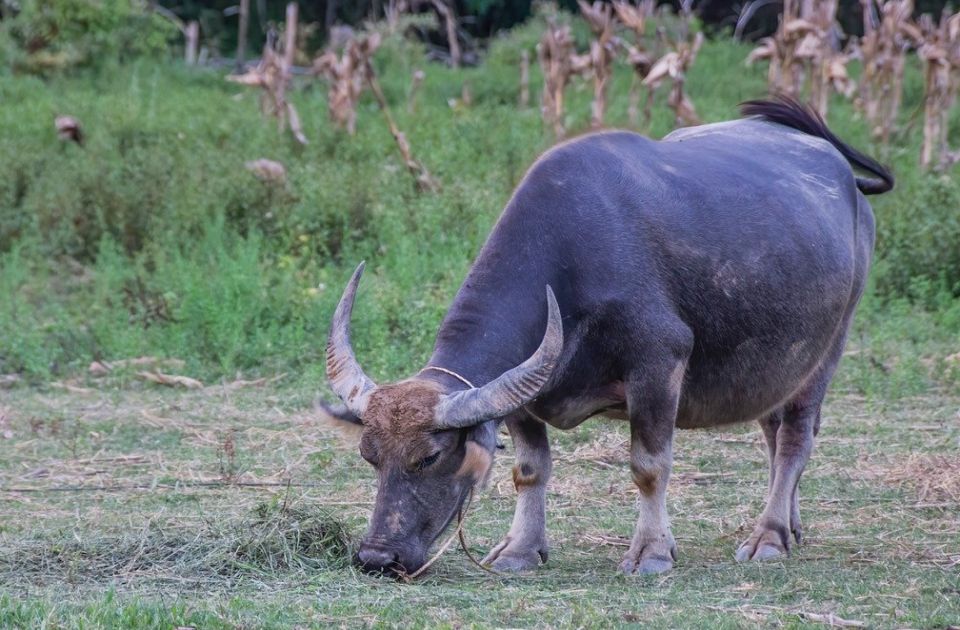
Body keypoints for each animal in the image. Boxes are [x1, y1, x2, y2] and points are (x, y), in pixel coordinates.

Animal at [322, 97, 892, 576]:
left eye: (430, 457)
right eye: (369, 456)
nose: (377, 557)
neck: (572, 259)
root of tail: (845, 179)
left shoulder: (658, 365)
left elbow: (649, 466)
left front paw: (651, 552)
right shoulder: (526, 392)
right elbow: (529, 469)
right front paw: (520, 549)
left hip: (829, 347)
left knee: (796, 437)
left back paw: (769, 536)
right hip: (777, 366)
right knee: (776, 434)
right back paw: (791, 527)